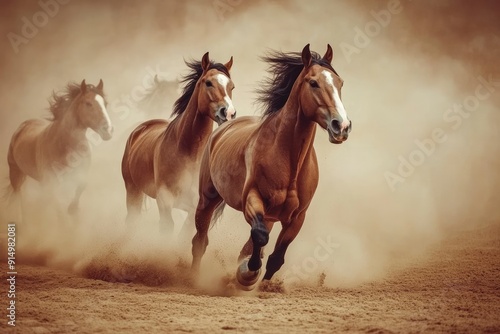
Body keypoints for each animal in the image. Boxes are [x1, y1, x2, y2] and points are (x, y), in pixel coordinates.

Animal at [7, 79, 113, 218]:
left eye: (105, 103)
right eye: (88, 103)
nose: (108, 130)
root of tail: (24, 125)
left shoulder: (80, 176)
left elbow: (80, 188)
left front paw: (73, 209)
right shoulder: (51, 183)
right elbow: (58, 209)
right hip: (15, 174)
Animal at [122, 51, 237, 237]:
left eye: (231, 86)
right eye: (208, 83)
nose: (228, 113)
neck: (188, 153)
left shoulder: (195, 208)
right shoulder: (164, 201)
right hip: (132, 190)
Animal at [191, 44, 352, 290]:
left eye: (340, 82)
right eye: (313, 83)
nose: (341, 126)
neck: (290, 162)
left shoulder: (297, 217)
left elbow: (276, 258)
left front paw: (261, 283)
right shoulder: (253, 200)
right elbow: (260, 237)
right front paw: (246, 275)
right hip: (207, 199)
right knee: (200, 241)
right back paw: (191, 277)